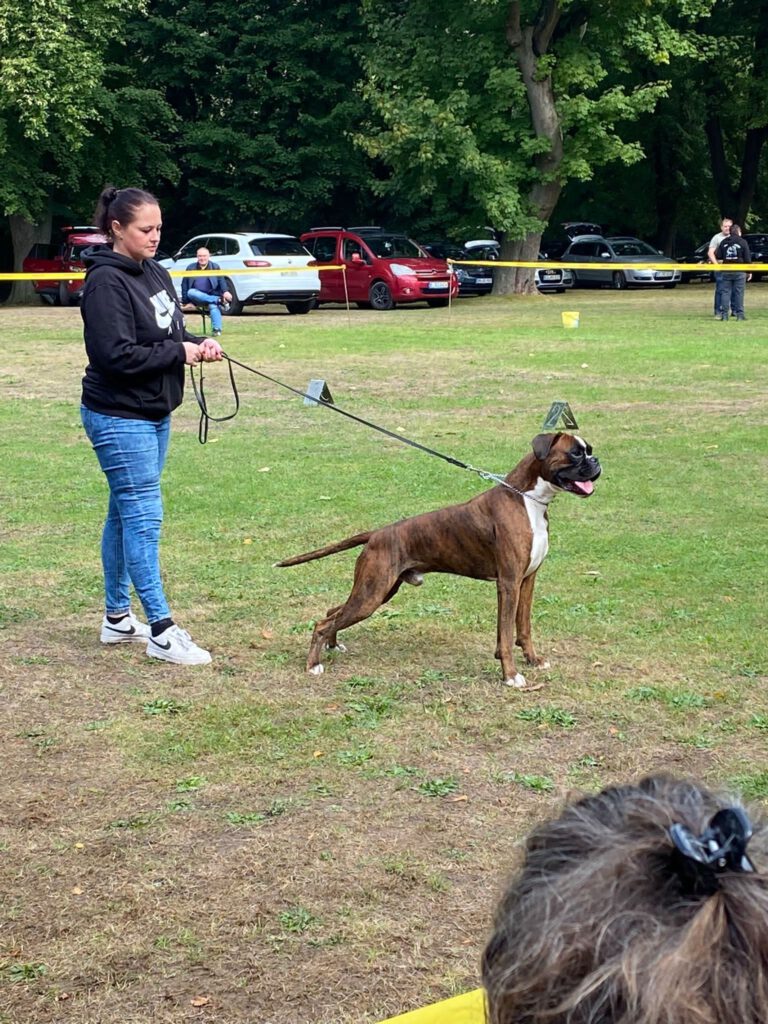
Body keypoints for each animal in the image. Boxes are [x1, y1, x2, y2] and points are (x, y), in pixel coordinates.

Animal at [276, 432, 602, 688]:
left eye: (589, 450)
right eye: (575, 453)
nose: (597, 462)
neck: (527, 499)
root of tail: (377, 534)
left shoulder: (528, 580)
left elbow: (522, 627)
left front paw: (532, 660)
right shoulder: (509, 583)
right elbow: (507, 629)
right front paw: (510, 675)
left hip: (378, 590)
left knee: (332, 611)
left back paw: (333, 645)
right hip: (372, 593)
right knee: (322, 622)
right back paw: (313, 664)